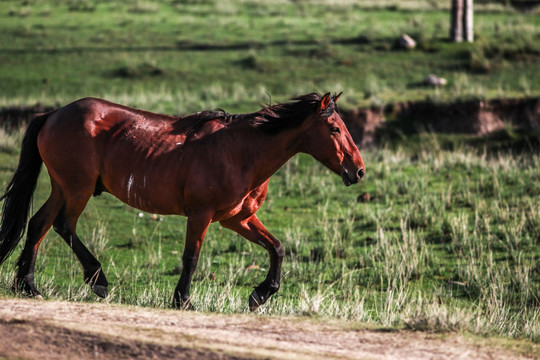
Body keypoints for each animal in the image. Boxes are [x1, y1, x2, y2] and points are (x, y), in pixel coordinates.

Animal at [0, 91, 364, 310]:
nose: (358, 171)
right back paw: (98, 281)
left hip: (62, 187)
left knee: (38, 226)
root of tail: (52, 114)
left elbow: (276, 247)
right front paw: (183, 300)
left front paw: (260, 294)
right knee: (63, 225)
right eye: (334, 129)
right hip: (78, 189)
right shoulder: (201, 215)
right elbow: (192, 257)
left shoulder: (237, 219)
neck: (241, 150)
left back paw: (28, 286)